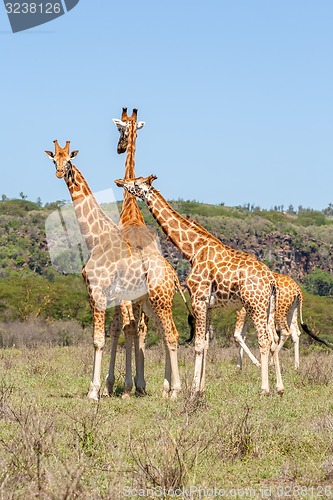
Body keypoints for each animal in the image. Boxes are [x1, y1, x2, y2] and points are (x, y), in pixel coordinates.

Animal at [44, 143, 182, 400]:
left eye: (68, 161)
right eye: (54, 159)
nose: (59, 172)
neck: (96, 239)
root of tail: (174, 275)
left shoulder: (97, 294)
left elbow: (99, 340)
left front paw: (93, 391)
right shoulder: (107, 297)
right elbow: (115, 333)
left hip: (161, 300)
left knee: (170, 334)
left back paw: (175, 391)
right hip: (150, 302)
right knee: (166, 333)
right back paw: (167, 389)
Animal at [115, 174, 284, 396]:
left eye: (136, 183)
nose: (119, 182)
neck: (193, 249)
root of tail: (271, 280)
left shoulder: (198, 298)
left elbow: (197, 344)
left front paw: (193, 389)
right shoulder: (209, 305)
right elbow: (205, 345)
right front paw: (202, 388)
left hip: (255, 305)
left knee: (264, 340)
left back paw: (264, 389)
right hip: (269, 307)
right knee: (273, 340)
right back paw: (280, 388)